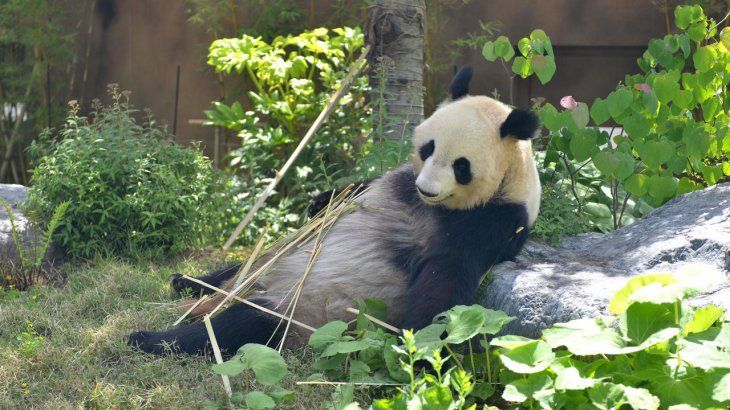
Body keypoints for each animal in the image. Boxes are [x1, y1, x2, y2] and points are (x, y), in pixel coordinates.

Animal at [127, 67, 542, 356]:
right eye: (428, 148)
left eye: (461, 165)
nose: (426, 188)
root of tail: (249, 291)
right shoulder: (397, 180)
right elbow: (354, 190)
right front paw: (317, 202)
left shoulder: (490, 221)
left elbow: (445, 278)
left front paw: (421, 344)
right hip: (269, 266)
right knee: (240, 268)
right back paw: (186, 282)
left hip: (306, 311)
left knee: (244, 327)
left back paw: (149, 338)